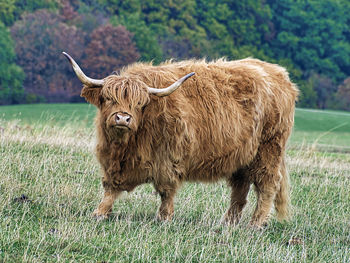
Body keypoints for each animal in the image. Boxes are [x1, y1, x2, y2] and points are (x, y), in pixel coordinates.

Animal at [63, 52, 298, 229]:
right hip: (242, 156)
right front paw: (100, 213)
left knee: (267, 184)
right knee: (240, 188)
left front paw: (164, 218)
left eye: (139, 103)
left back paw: (256, 224)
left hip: (269, 149)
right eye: (109, 98)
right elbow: (110, 187)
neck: (126, 146)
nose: (122, 118)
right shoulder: (112, 160)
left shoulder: (169, 159)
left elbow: (166, 190)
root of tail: (280, 74)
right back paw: (228, 222)